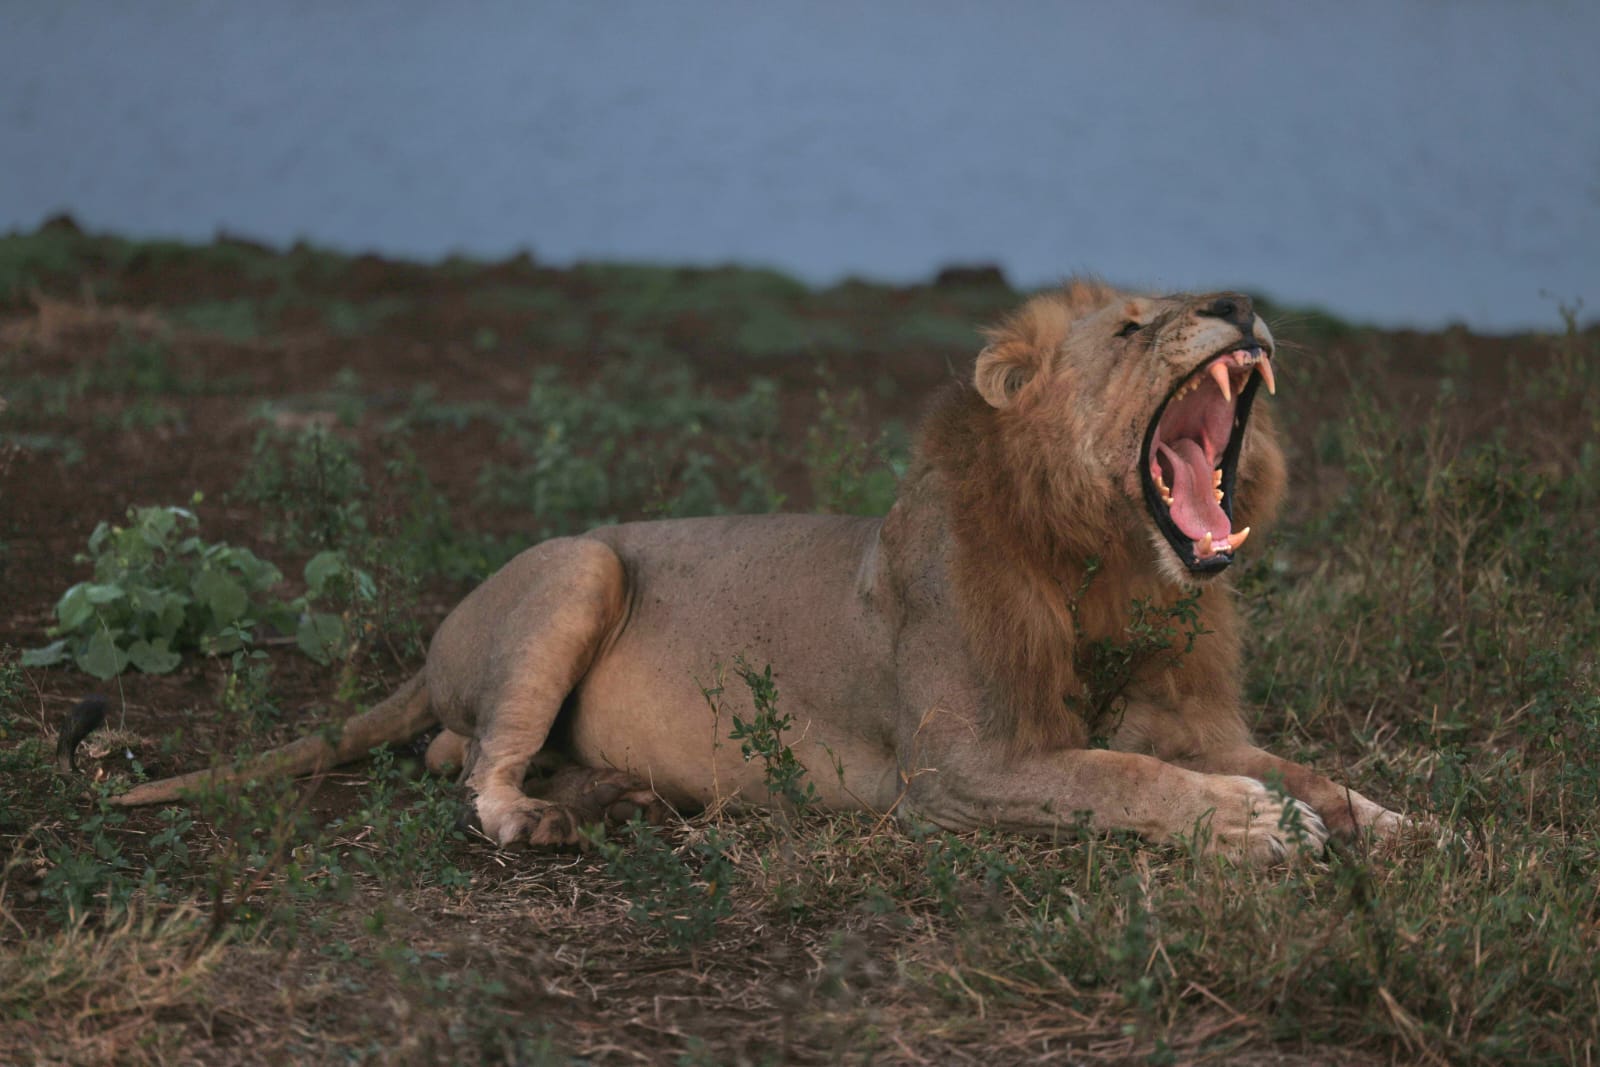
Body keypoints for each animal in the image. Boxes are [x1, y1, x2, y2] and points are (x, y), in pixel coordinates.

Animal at [112, 281, 1406, 863]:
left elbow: (1300, 766)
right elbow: (1120, 776)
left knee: (451, 748)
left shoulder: (1178, 711)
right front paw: (1254, 820)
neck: (1114, 568)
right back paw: (541, 817)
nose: (1241, 303)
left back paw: (618, 794)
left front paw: (1396, 822)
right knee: (472, 768)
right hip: (581, 564)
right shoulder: (960, 769)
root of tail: (438, 636)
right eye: (1137, 326)